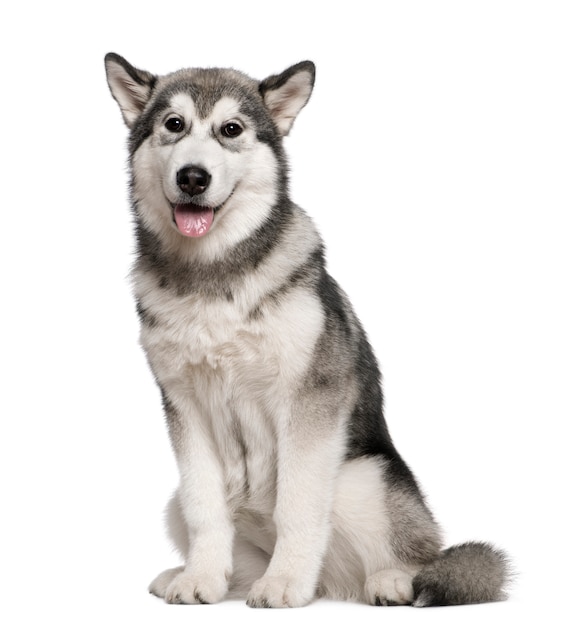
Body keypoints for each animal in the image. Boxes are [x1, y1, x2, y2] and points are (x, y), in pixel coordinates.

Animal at [104, 53, 508, 604]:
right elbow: (204, 507)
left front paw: (284, 583)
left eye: (231, 129)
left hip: (364, 476)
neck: (213, 274)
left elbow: (296, 506)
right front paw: (201, 578)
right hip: (182, 502)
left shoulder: (311, 401)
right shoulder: (184, 406)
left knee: (419, 553)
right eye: (174, 124)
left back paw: (389, 580)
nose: (192, 177)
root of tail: (335, 585)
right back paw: (201, 575)